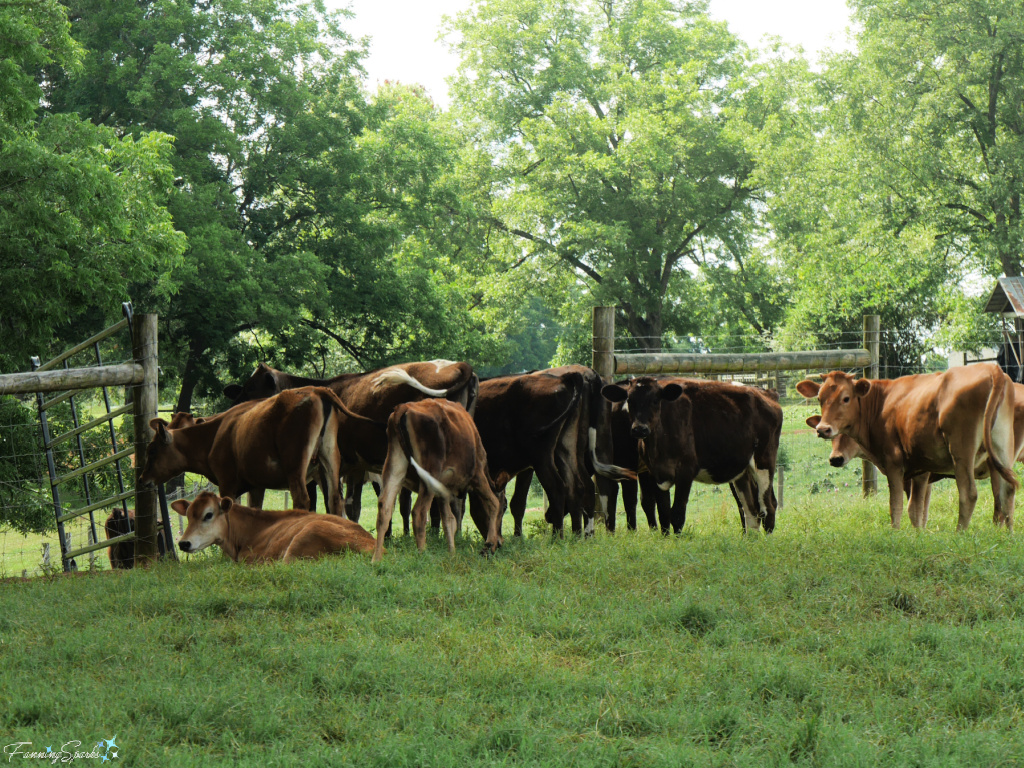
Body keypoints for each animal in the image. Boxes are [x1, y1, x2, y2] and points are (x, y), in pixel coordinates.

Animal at [137, 385, 376, 518]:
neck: (215, 435)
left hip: (295, 465)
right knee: (335, 500)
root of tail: (315, 389)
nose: (142, 479)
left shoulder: (227, 483)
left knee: (302, 499)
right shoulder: (256, 485)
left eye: (152, 450)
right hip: (329, 459)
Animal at [376, 399, 503, 561]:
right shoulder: (477, 476)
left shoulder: (443, 490)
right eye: (505, 508)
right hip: (429, 473)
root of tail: (404, 407)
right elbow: (494, 503)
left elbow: (449, 520)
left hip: (394, 466)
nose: (500, 542)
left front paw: (452, 554)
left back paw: (376, 559)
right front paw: (489, 545)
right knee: (419, 512)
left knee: (384, 507)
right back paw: (423, 555)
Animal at [598, 378, 782, 536]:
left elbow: (677, 513)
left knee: (768, 505)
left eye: (656, 400)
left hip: (763, 462)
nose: (639, 429)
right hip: (742, 471)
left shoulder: (685, 472)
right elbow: (663, 511)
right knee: (750, 509)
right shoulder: (656, 473)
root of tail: (765, 393)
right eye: (629, 400)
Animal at [794, 364, 1019, 532]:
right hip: (1002, 448)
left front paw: (896, 533)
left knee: (969, 493)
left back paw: (960, 534)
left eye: (846, 398)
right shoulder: (920, 468)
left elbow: (896, 505)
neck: (880, 404)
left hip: (962, 450)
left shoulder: (894, 463)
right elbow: (916, 509)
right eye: (820, 398)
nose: (823, 429)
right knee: (1007, 491)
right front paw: (918, 535)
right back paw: (1006, 537)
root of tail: (992, 368)